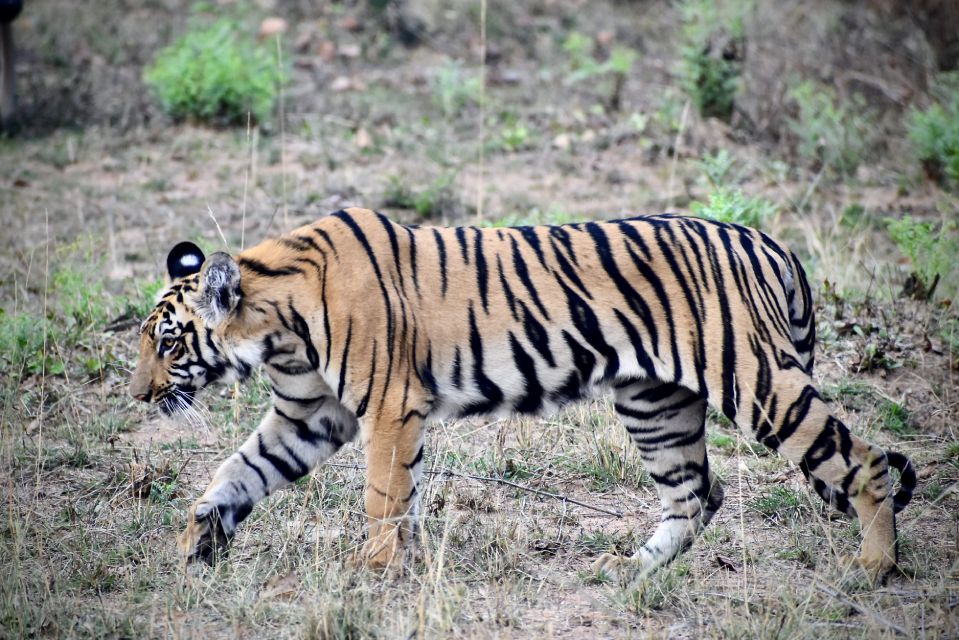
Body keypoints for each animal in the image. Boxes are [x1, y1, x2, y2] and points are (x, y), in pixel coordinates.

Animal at [129, 207, 915, 580]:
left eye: (167, 342)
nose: (137, 396)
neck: (274, 327)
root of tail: (765, 239)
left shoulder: (387, 407)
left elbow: (383, 497)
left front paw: (374, 570)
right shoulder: (307, 416)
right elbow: (236, 472)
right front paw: (196, 542)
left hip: (757, 380)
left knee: (863, 460)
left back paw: (873, 567)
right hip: (653, 403)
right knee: (697, 494)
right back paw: (630, 571)